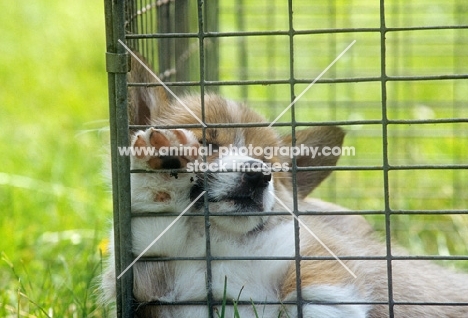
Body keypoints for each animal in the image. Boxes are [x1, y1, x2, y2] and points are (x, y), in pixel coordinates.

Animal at [101, 55, 468, 318]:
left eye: (271, 166)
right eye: (207, 144)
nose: (258, 174)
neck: (219, 241)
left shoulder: (319, 261)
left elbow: (315, 297)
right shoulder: (150, 280)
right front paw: (166, 161)